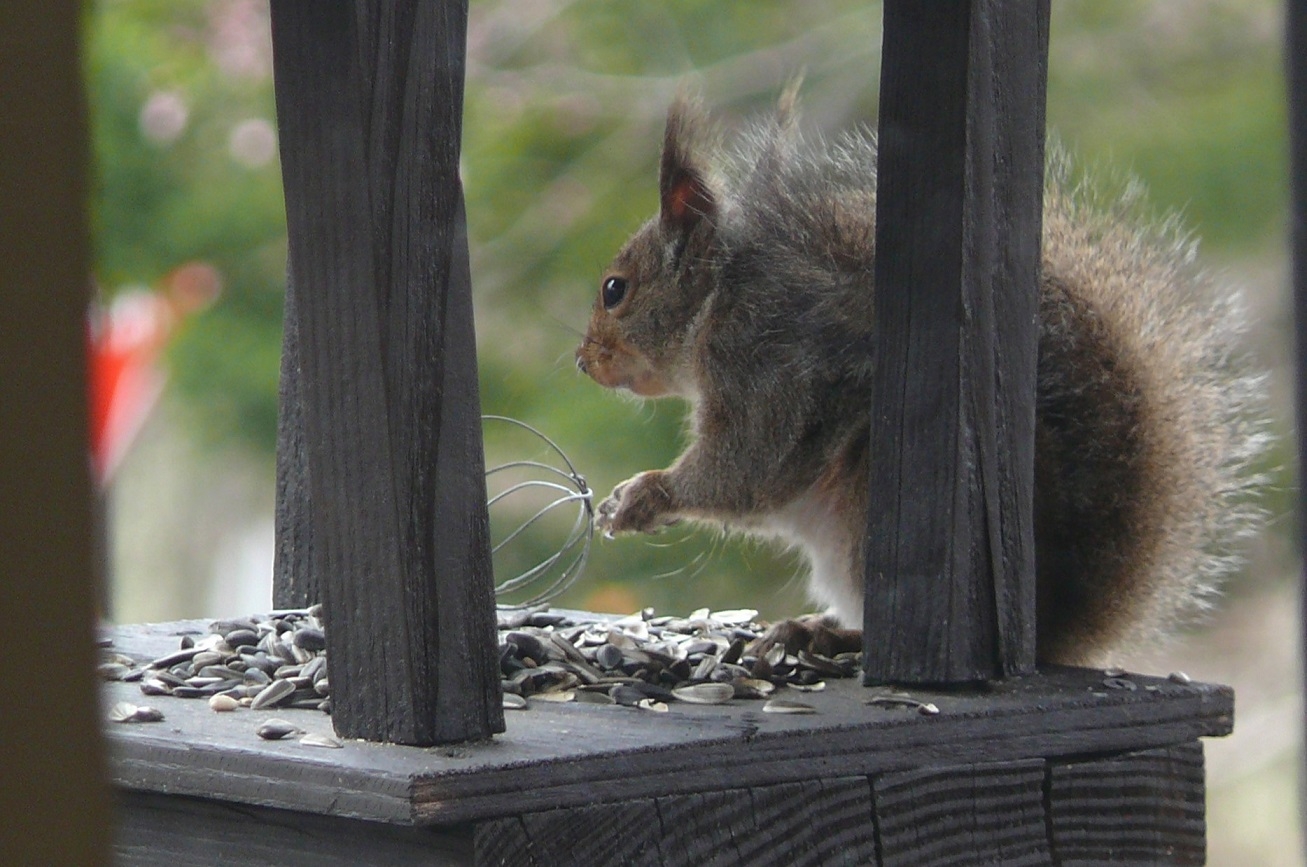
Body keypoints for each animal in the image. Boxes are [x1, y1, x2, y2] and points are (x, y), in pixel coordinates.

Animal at [575, 91, 1265, 666]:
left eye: (614, 290)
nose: (584, 362)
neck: (715, 301)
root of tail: (1054, 634)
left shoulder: (767, 358)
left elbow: (752, 466)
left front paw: (642, 496)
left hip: (869, 514)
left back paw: (828, 637)